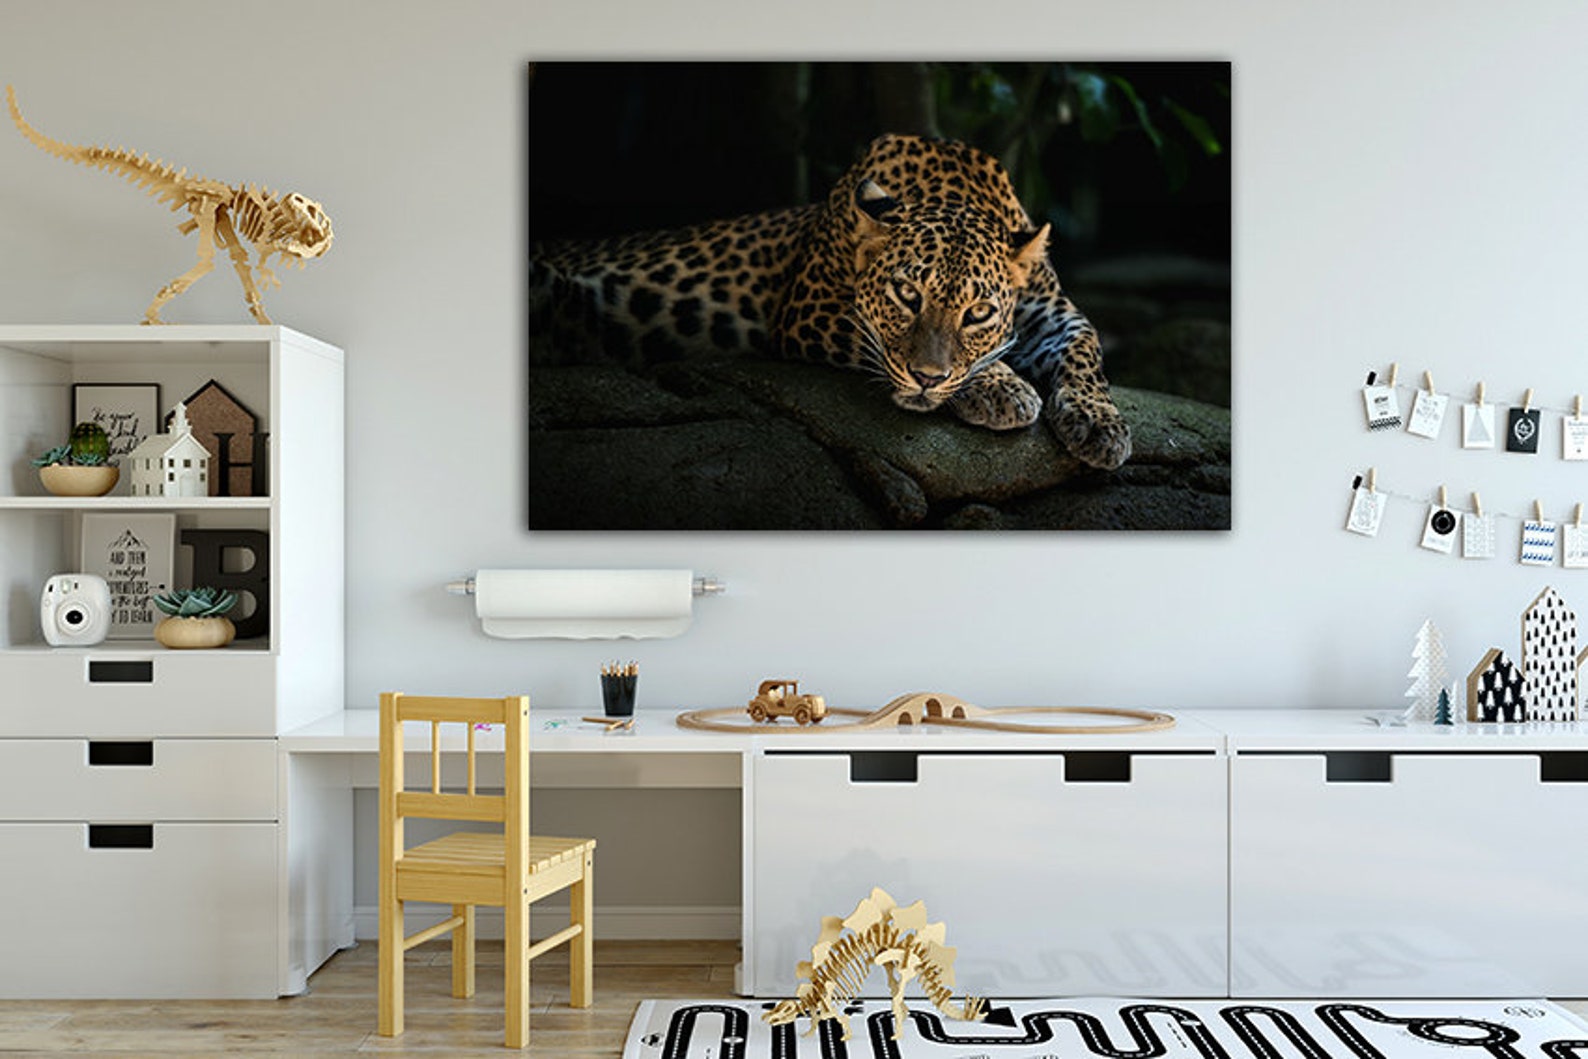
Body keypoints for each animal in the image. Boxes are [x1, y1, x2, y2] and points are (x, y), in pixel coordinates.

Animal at [527, 133, 1132, 470]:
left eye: (978, 312)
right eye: (906, 295)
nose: (928, 380)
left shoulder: (1054, 313)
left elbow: (1087, 351)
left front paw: (1101, 424)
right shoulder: (810, 310)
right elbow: (884, 345)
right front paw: (1003, 387)